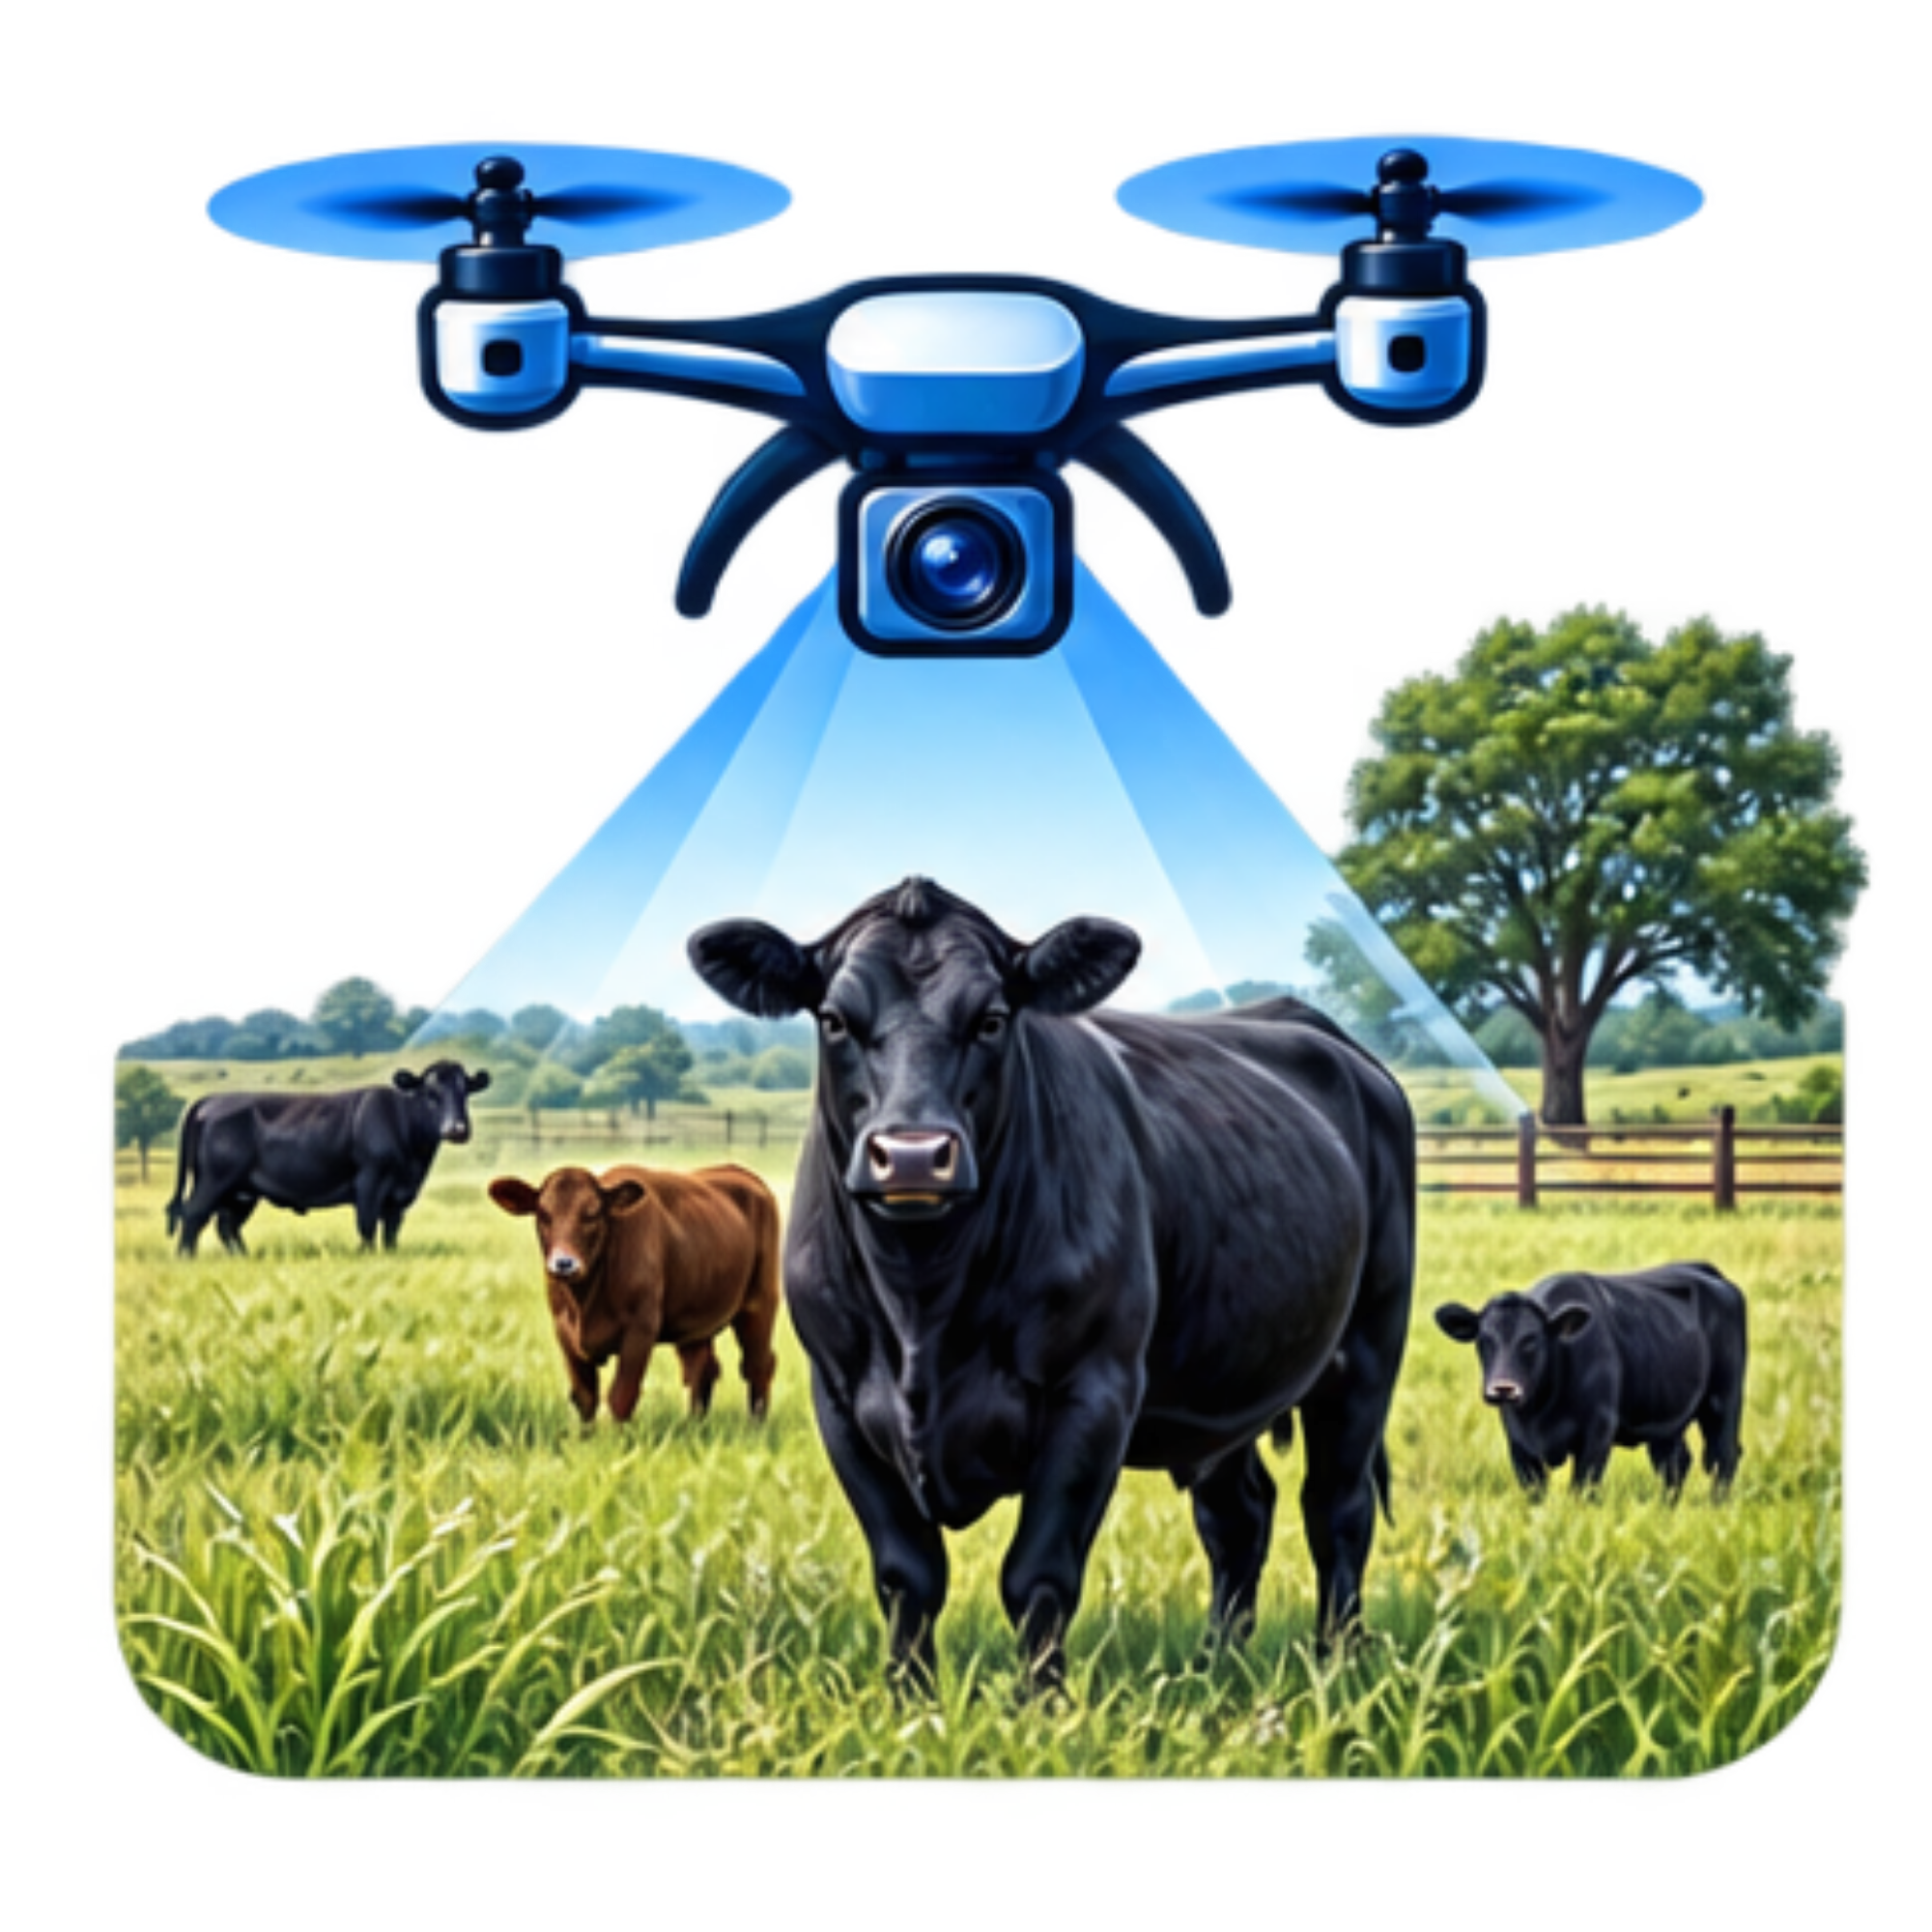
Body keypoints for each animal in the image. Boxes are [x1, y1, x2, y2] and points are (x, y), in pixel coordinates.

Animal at [165, 1062, 491, 1256]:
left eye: (465, 1092)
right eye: (430, 1093)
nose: (457, 1128)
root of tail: (212, 1100)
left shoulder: (399, 1195)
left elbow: (392, 1230)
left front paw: (390, 1255)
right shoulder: (369, 1180)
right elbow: (367, 1224)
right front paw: (365, 1257)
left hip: (241, 1192)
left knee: (226, 1225)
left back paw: (243, 1259)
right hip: (214, 1179)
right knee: (194, 1215)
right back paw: (186, 1259)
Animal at [487, 1163, 781, 1428]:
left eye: (593, 1214)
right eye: (543, 1214)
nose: (564, 1263)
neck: (585, 1304)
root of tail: (739, 1172)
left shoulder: (640, 1328)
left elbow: (621, 1396)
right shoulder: (564, 1330)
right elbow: (585, 1398)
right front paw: (583, 1443)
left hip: (759, 1303)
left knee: (758, 1365)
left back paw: (756, 1428)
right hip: (696, 1318)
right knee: (702, 1368)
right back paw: (694, 1427)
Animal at [687, 876, 1416, 1695]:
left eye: (993, 1018)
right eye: (836, 1019)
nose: (912, 1155)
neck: (922, 1304)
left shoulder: (1093, 1390)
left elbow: (1036, 1574)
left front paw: (1040, 1704)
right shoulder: (840, 1397)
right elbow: (907, 1574)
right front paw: (911, 1701)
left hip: (1367, 1348)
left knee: (1337, 1508)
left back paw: (1338, 1667)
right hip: (1223, 1380)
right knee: (1238, 1515)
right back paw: (1213, 1668)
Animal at [1434, 1263, 1747, 1501]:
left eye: (1531, 1340)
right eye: (1484, 1340)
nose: (1503, 1389)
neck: (1541, 1411)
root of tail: (1706, 1272)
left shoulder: (1597, 1432)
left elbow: (1582, 1491)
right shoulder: (1519, 1444)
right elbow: (1535, 1496)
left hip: (1723, 1400)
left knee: (1724, 1456)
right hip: (1666, 1417)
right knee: (1674, 1463)